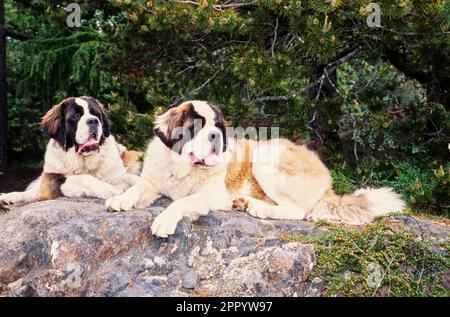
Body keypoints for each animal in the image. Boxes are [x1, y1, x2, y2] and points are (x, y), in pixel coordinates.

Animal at [0, 96, 142, 207]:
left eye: (96, 114)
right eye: (76, 116)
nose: (93, 121)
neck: (84, 161)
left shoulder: (119, 174)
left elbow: (133, 179)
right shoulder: (50, 179)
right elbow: (83, 177)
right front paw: (108, 189)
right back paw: (8, 197)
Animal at [107, 100, 406, 236]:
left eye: (217, 126)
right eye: (196, 126)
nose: (216, 135)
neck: (182, 166)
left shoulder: (212, 194)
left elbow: (180, 202)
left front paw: (164, 220)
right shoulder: (154, 182)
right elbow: (137, 188)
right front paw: (120, 200)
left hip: (266, 158)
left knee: (297, 211)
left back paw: (259, 208)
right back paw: (245, 202)